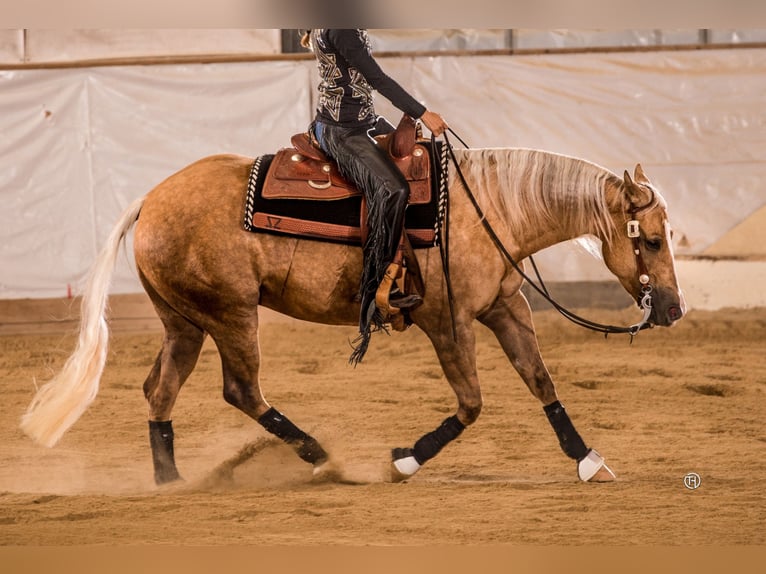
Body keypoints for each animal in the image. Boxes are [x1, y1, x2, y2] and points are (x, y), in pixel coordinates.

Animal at [20, 146, 686, 485]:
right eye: (652, 239)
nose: (675, 309)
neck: (490, 208)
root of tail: (150, 200)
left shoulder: (505, 307)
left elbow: (541, 380)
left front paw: (588, 459)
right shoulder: (447, 322)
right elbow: (472, 403)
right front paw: (404, 459)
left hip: (184, 322)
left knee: (159, 389)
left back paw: (171, 480)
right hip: (231, 315)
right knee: (241, 390)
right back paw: (322, 458)